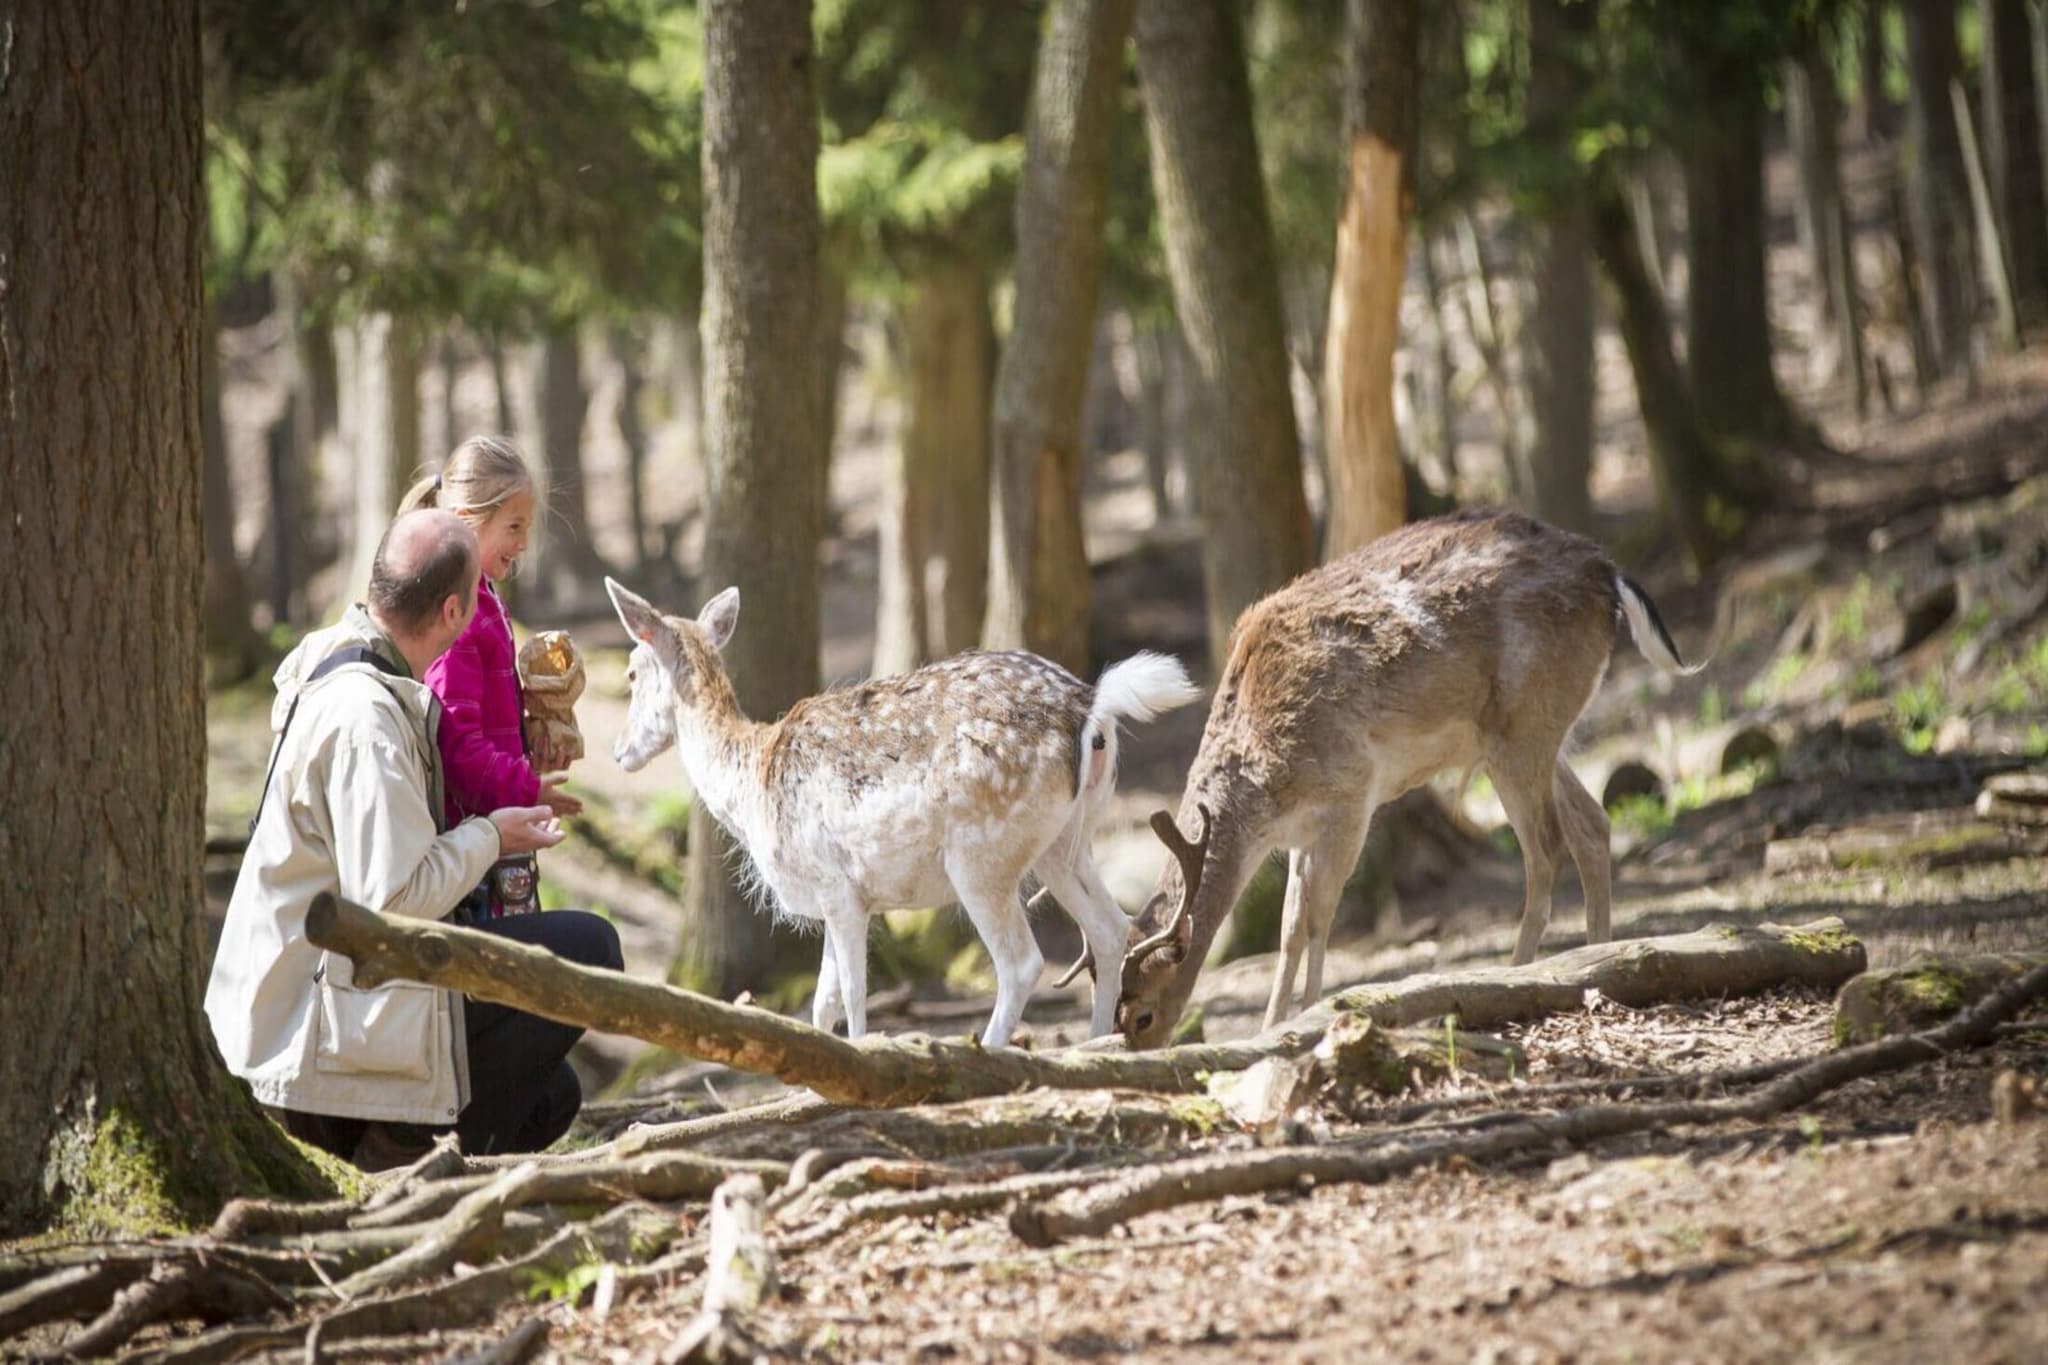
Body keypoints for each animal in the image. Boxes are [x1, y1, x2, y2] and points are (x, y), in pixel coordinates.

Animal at [598, 577, 1196, 1047]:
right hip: (1065, 844)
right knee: (1111, 930)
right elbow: (823, 1002)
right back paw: (1098, 1043)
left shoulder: (837, 886)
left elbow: (854, 995)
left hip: (981, 851)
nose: (620, 752)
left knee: (1022, 962)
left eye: (631, 672)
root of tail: (1090, 707)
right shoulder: (837, 898)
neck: (750, 784)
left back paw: (990, 1052)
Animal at [1114, 507, 1703, 1055]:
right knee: (1592, 825)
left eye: (1142, 1015)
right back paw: (1597, 957)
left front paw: (1308, 1016)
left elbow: (1317, 917)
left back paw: (1517, 974)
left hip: (1525, 724)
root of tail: (1610, 573)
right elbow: (1288, 927)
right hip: (1528, 734)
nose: (1142, 1049)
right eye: (1116, 1013)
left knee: (1546, 848)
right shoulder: (1303, 830)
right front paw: (1269, 1025)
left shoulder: (1351, 790)